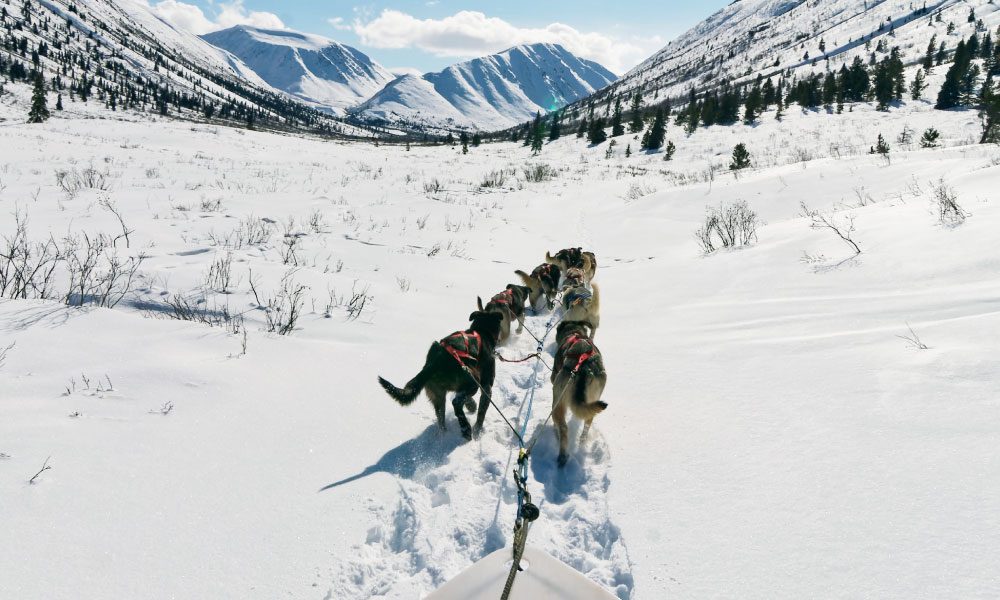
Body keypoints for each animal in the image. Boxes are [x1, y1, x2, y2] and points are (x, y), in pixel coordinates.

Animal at [376, 312, 504, 438]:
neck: (481, 331)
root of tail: (434, 361)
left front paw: (471, 406)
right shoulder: (486, 385)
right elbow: (482, 411)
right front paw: (478, 429)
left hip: (438, 395)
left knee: (441, 419)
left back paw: (445, 434)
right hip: (472, 381)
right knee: (456, 403)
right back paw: (466, 429)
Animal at [552, 322, 604, 466]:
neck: (574, 331)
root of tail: (583, 368)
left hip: (557, 400)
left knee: (562, 427)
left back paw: (562, 453)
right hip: (593, 400)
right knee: (587, 422)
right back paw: (582, 442)